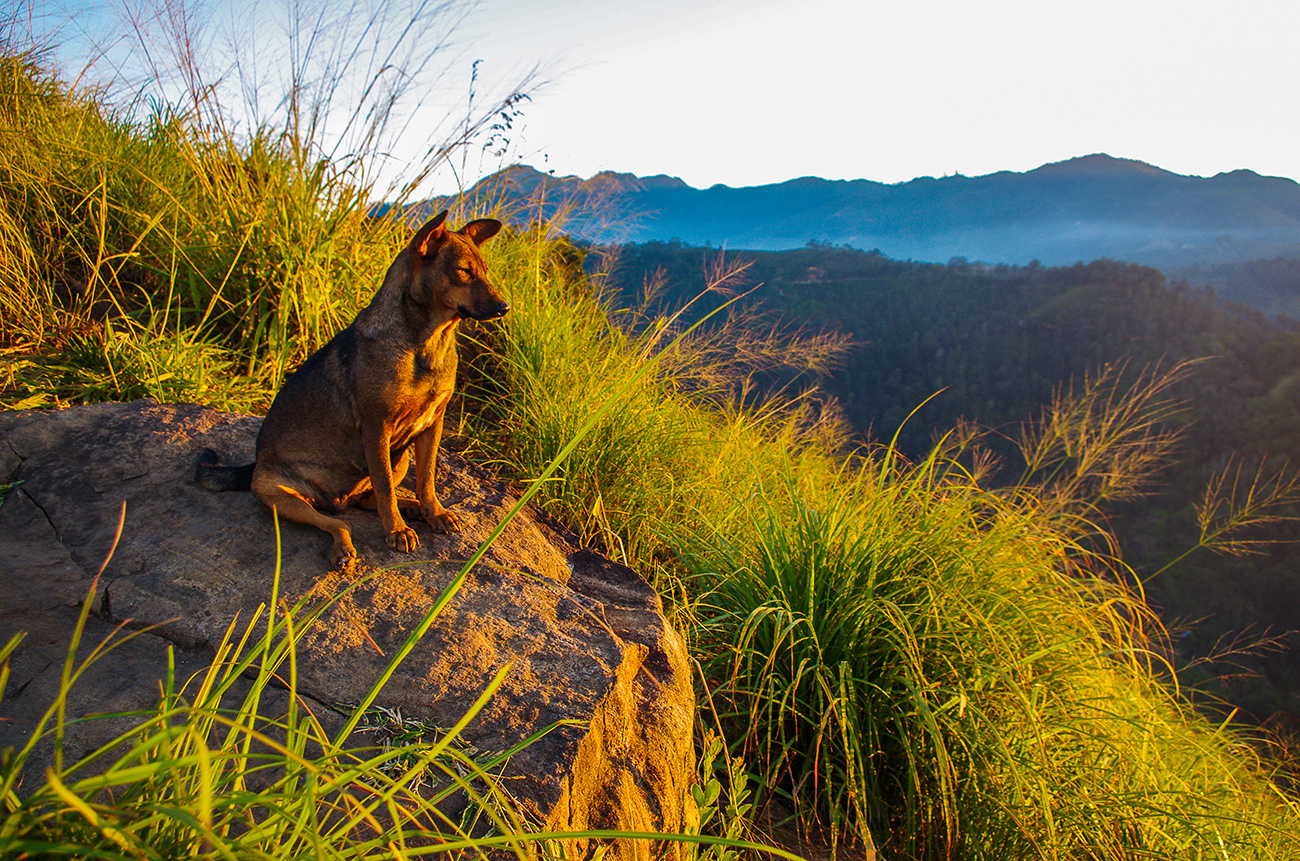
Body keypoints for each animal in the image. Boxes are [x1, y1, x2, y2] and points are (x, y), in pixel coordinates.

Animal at [197, 211, 506, 569]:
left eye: (484, 270)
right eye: (463, 271)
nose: (504, 307)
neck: (426, 344)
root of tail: (336, 498)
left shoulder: (432, 425)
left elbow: (426, 479)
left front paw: (434, 512)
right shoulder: (376, 428)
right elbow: (385, 489)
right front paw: (395, 531)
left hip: (398, 458)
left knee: (366, 500)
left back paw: (412, 508)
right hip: (277, 496)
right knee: (339, 522)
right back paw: (348, 545)